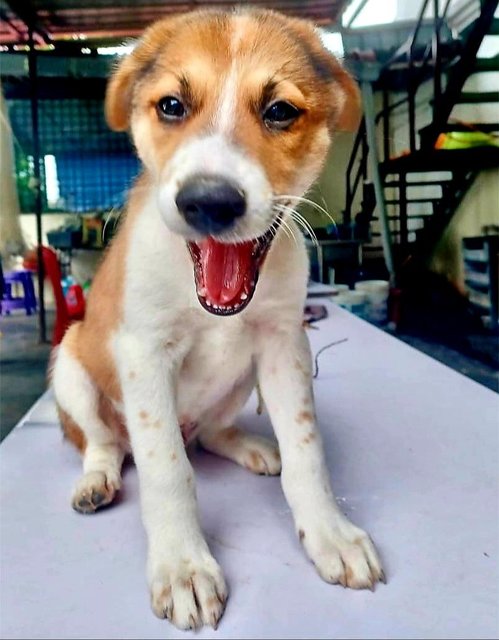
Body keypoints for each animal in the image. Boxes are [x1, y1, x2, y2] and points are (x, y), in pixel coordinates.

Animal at [52, 8, 384, 632]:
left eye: (279, 111)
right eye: (171, 106)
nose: (209, 202)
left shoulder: (284, 343)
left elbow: (307, 451)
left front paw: (329, 533)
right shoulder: (143, 354)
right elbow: (167, 470)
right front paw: (183, 566)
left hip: (243, 380)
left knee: (208, 433)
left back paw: (249, 447)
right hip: (71, 365)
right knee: (104, 441)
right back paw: (97, 480)